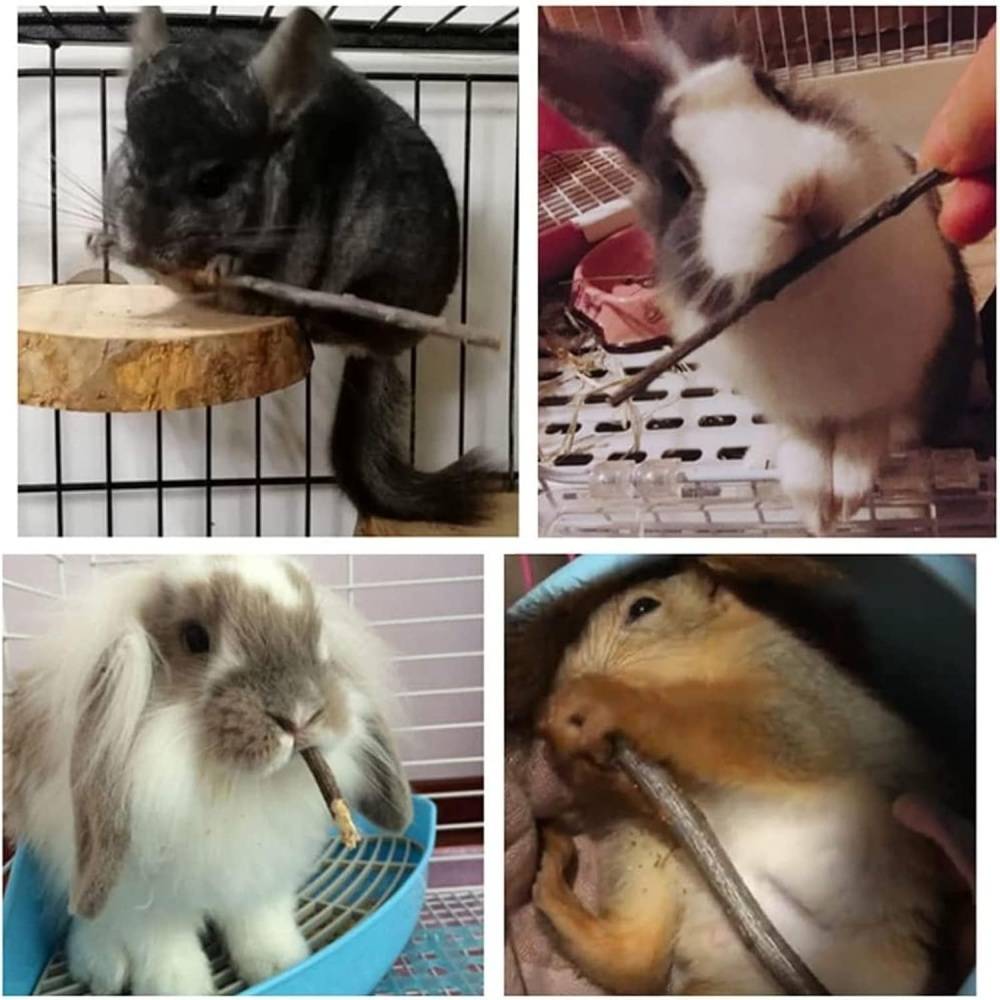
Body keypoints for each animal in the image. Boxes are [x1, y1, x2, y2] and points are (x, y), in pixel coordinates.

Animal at [3, 556, 412, 995]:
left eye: (317, 636)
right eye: (195, 638)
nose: (300, 715)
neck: (229, 783)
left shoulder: (258, 882)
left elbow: (259, 924)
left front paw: (278, 965)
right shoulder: (147, 906)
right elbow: (166, 951)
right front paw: (182, 989)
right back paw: (100, 970)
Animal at [530, 556, 951, 995]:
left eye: (643, 607)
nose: (560, 687)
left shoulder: (801, 696)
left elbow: (729, 722)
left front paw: (606, 702)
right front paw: (571, 740)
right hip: (646, 854)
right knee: (634, 960)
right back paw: (553, 876)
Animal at [540, 9, 977, 534]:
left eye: (778, 95)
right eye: (678, 180)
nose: (799, 193)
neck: (813, 285)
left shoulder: (902, 384)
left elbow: (868, 429)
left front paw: (845, 492)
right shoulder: (794, 410)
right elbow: (806, 442)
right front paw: (813, 502)